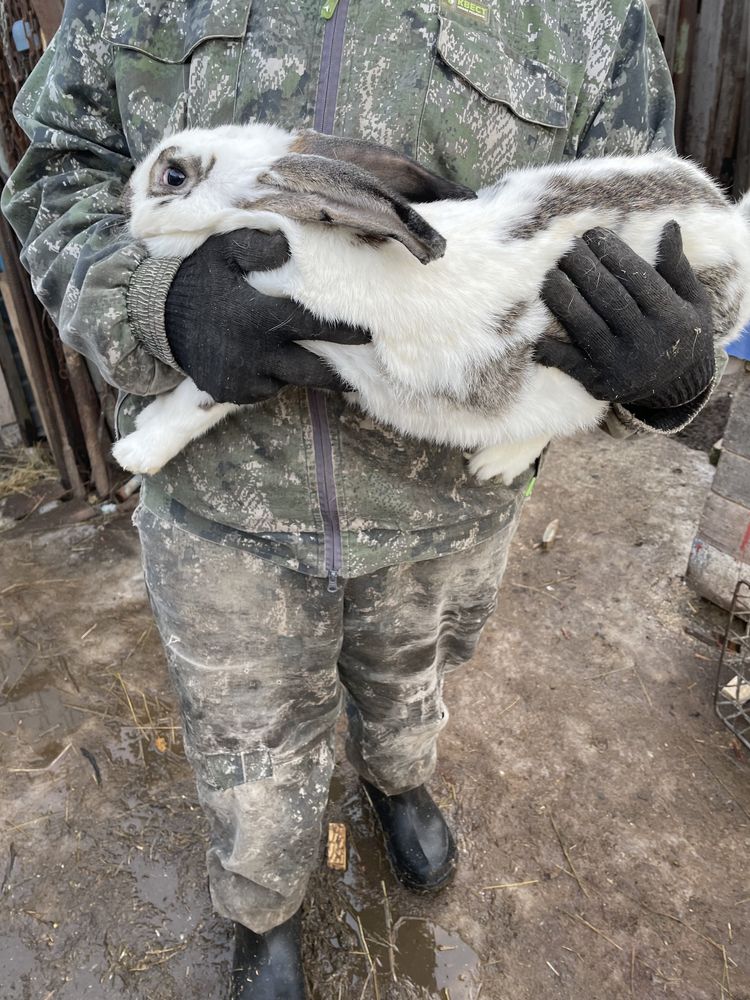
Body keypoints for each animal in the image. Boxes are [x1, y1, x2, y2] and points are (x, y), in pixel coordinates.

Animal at [111, 123, 750, 482]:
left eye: (172, 175)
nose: (125, 192)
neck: (291, 230)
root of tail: (730, 223)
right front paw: (140, 435)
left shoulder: (285, 334)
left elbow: (203, 398)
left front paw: (134, 452)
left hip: (592, 372)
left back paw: (496, 464)